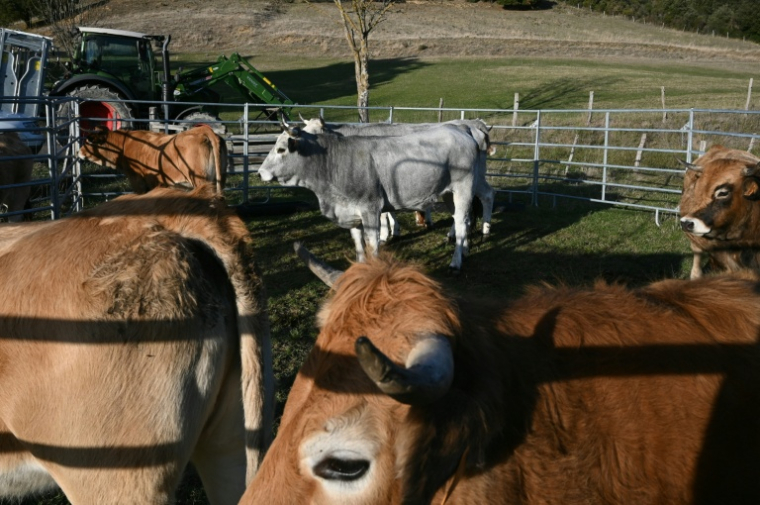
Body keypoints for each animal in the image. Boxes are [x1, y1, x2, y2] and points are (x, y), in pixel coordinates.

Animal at [78, 125, 228, 194]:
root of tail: (203, 130)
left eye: (89, 140)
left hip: (200, 180)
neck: (124, 144)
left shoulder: (138, 181)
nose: (78, 152)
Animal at [258, 124, 482, 270]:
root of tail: (461, 130)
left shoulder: (370, 208)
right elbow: (358, 245)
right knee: (463, 219)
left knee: (461, 222)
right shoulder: (351, 213)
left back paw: (456, 262)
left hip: (464, 187)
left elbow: (372, 244)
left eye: (281, 149)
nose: (260, 173)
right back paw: (465, 250)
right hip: (448, 194)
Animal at [299, 116, 495, 241]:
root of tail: (471, 124)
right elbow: (389, 210)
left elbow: (384, 214)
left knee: (485, 197)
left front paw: (386, 234)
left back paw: (482, 231)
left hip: (472, 179)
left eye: (314, 135)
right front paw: (394, 231)